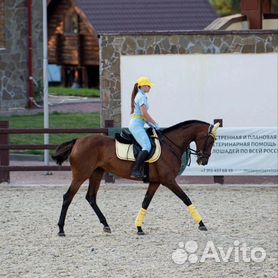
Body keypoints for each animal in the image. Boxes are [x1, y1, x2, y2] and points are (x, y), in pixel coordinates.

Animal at [52, 120, 219, 237]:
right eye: (211, 141)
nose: (203, 161)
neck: (170, 145)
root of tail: (77, 141)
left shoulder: (155, 182)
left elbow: (145, 202)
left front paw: (139, 228)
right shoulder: (168, 180)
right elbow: (186, 198)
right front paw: (201, 223)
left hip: (97, 173)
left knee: (91, 197)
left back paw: (106, 225)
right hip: (81, 175)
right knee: (68, 197)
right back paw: (61, 229)